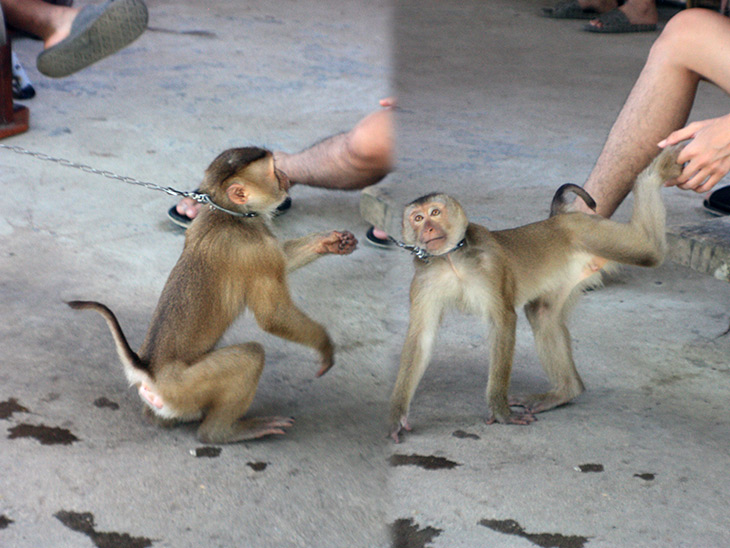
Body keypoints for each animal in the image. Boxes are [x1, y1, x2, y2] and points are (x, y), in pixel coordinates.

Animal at [67, 148, 356, 444]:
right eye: (274, 170)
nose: (286, 175)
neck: (231, 214)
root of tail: (149, 370)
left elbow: (284, 260)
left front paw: (330, 241)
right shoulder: (255, 250)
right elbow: (273, 315)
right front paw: (324, 345)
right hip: (184, 388)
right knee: (250, 356)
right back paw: (221, 432)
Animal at [390, 144, 680, 440]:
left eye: (435, 213)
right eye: (417, 218)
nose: (427, 228)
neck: (451, 258)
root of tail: (558, 219)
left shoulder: (490, 265)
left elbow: (503, 322)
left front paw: (500, 411)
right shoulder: (424, 280)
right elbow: (422, 337)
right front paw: (398, 415)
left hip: (584, 229)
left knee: (650, 251)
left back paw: (653, 174)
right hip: (573, 262)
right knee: (541, 313)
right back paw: (566, 391)